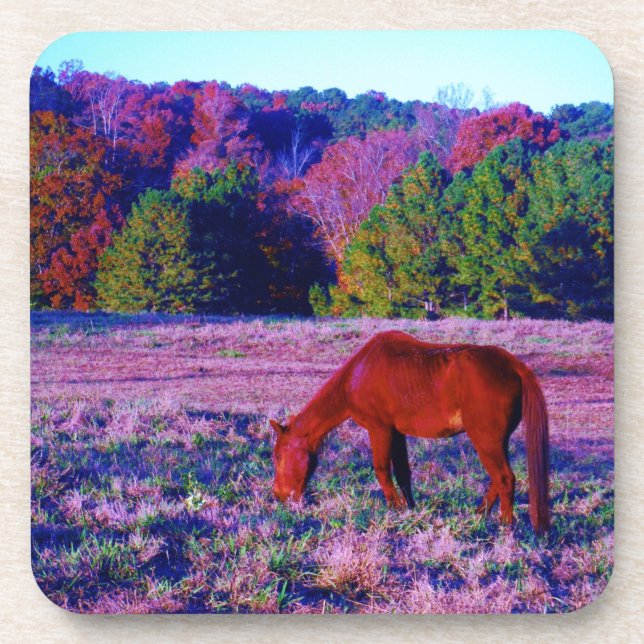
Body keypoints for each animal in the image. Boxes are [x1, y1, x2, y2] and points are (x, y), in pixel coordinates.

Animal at [270, 330, 550, 533]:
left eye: (278, 456)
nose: (279, 496)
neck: (358, 373)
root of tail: (513, 366)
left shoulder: (379, 429)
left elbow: (382, 470)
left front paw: (394, 508)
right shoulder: (397, 433)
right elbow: (403, 473)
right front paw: (410, 508)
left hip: (486, 439)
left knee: (505, 478)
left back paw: (505, 526)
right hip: (495, 441)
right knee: (497, 479)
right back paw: (479, 515)